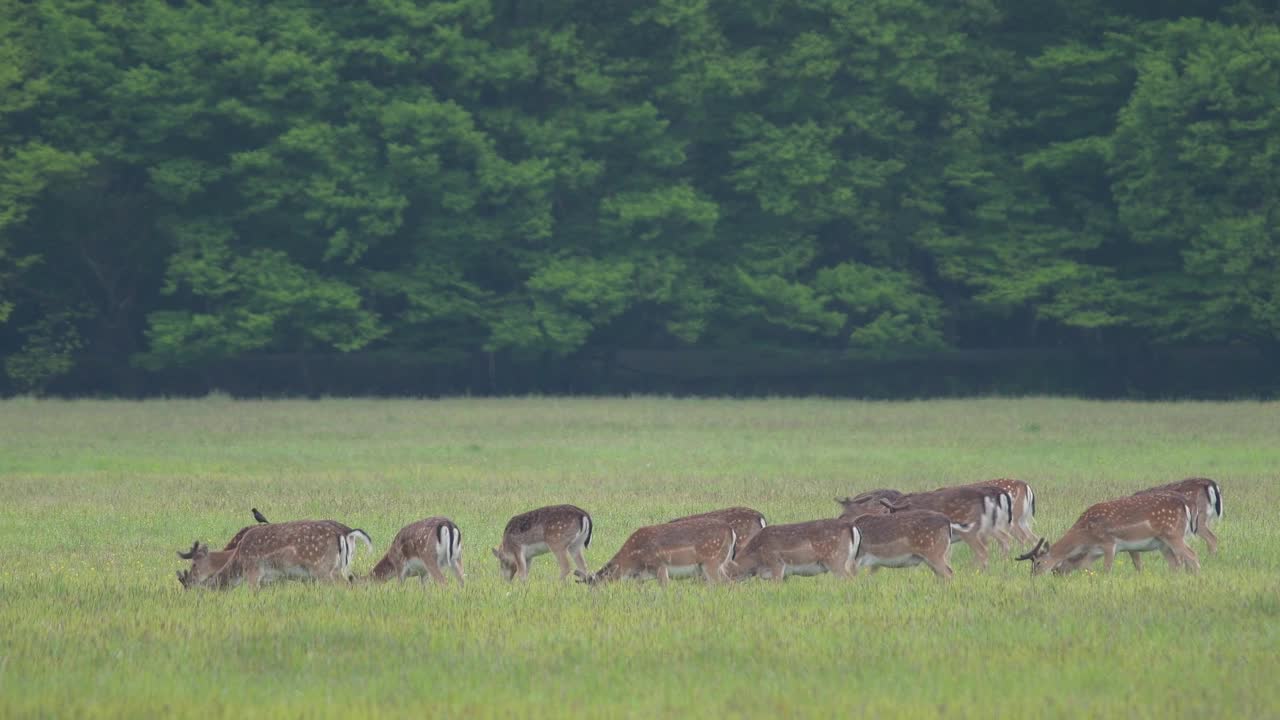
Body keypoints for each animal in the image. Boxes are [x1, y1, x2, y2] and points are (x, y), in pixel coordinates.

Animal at [1008, 489, 1198, 573]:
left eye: (1038, 563)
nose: (1033, 577)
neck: (1085, 537)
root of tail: (1186, 506)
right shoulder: (1095, 551)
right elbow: (1085, 566)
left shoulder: (1109, 543)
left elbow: (1107, 569)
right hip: (1162, 543)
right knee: (1175, 564)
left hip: (1173, 534)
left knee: (1192, 555)